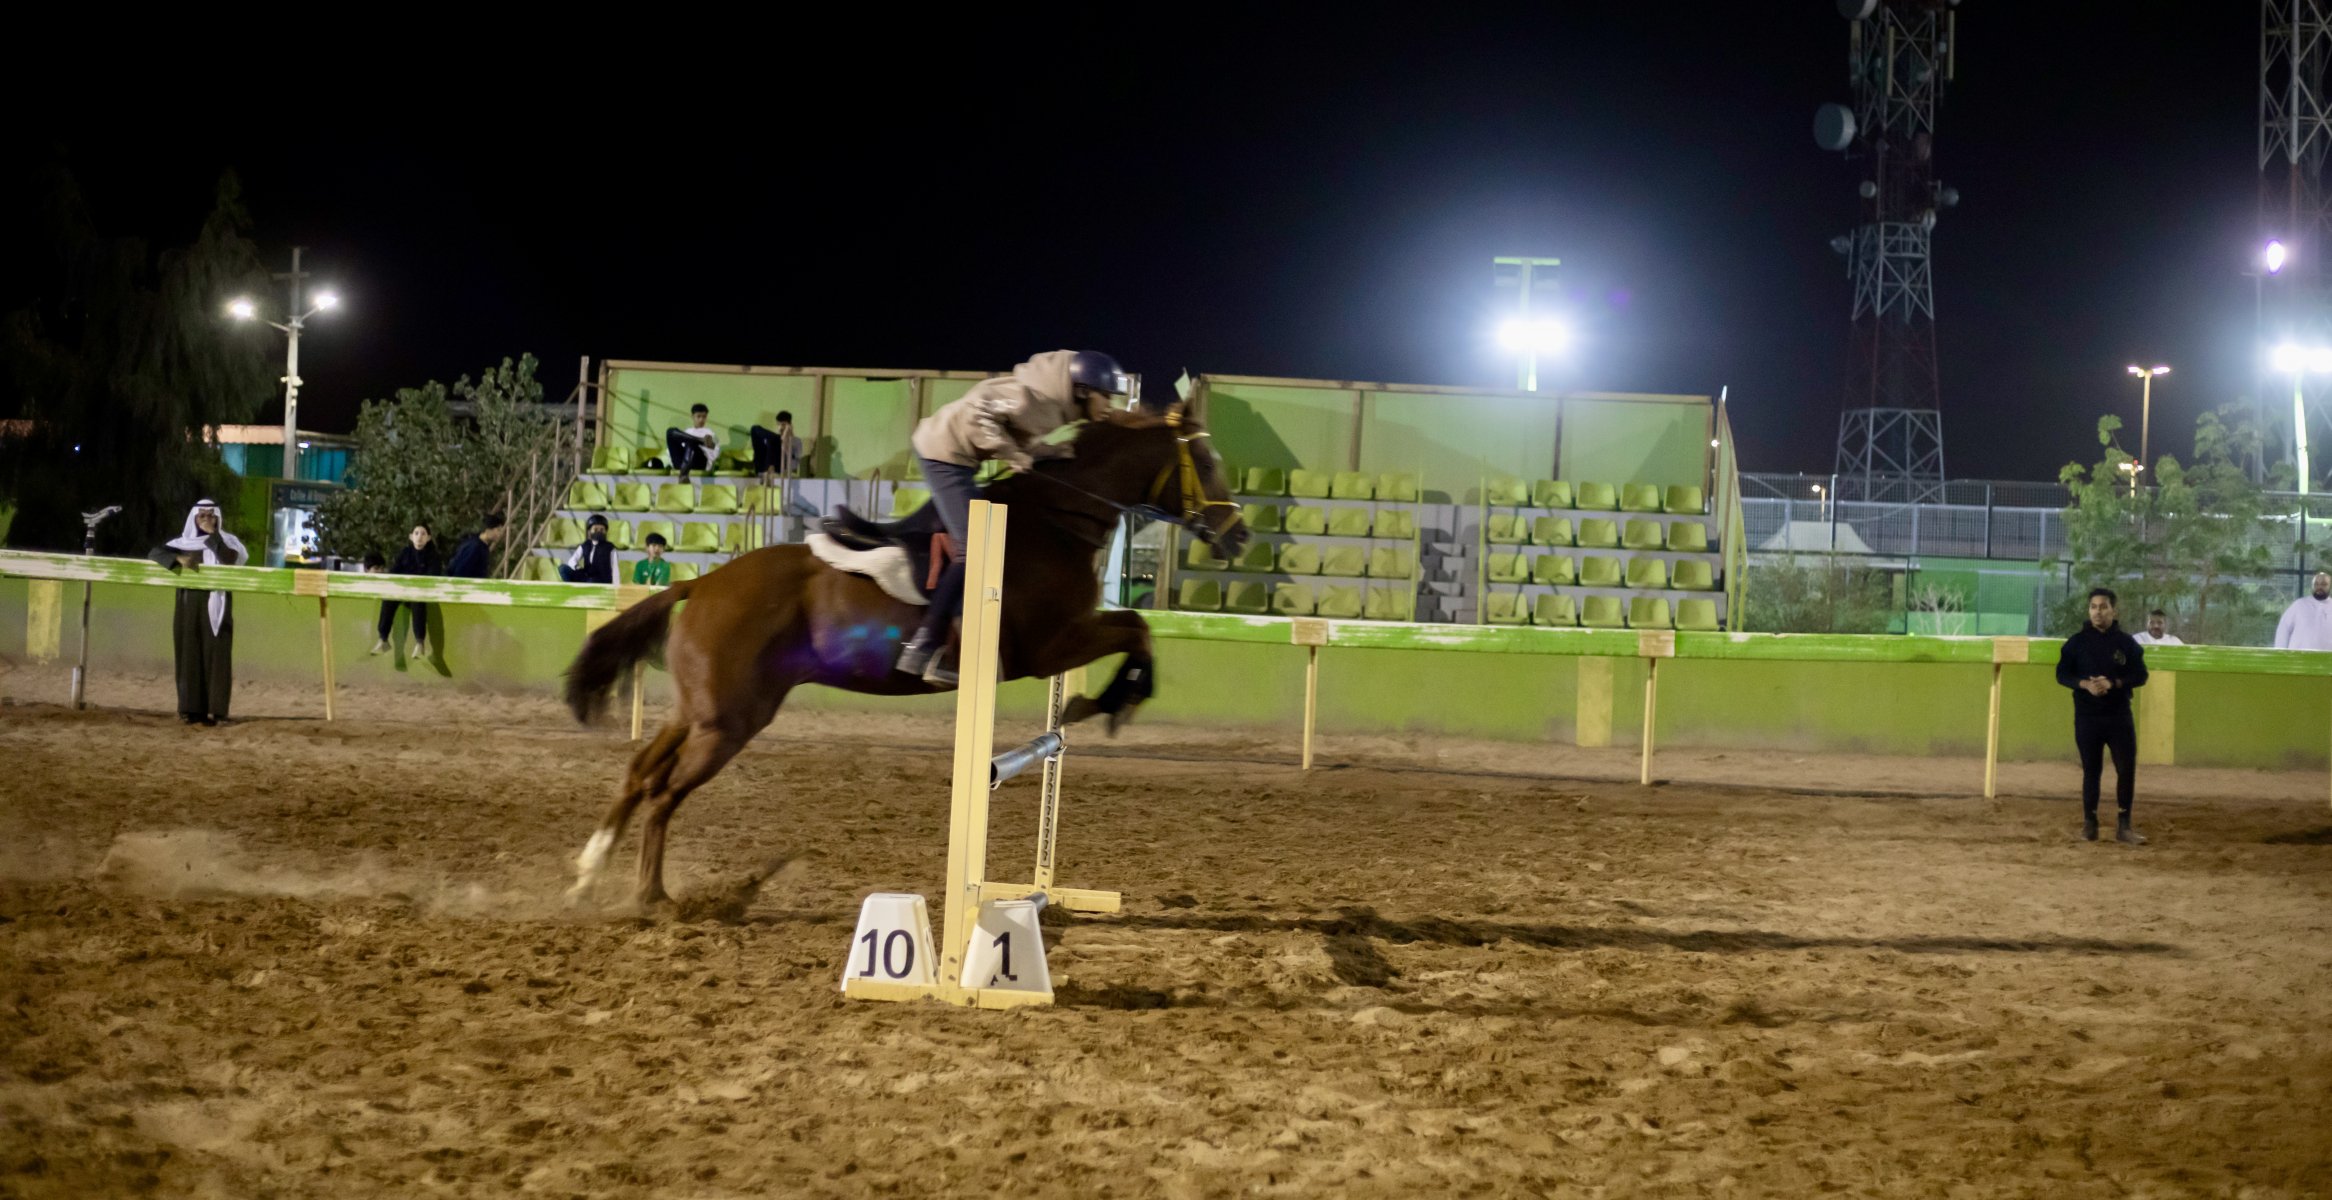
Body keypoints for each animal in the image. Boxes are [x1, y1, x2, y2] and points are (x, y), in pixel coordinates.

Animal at [559, 405, 1250, 908]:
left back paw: (590, 872)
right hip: (728, 723)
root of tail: (701, 585)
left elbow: (1138, 628)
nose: (1240, 534)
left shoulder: (1063, 639)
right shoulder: (1052, 643)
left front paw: (1100, 702)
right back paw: (653, 898)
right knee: (664, 793)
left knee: (641, 772)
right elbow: (1138, 631)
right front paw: (1111, 702)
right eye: (1206, 458)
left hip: (701, 711)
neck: (1058, 521)